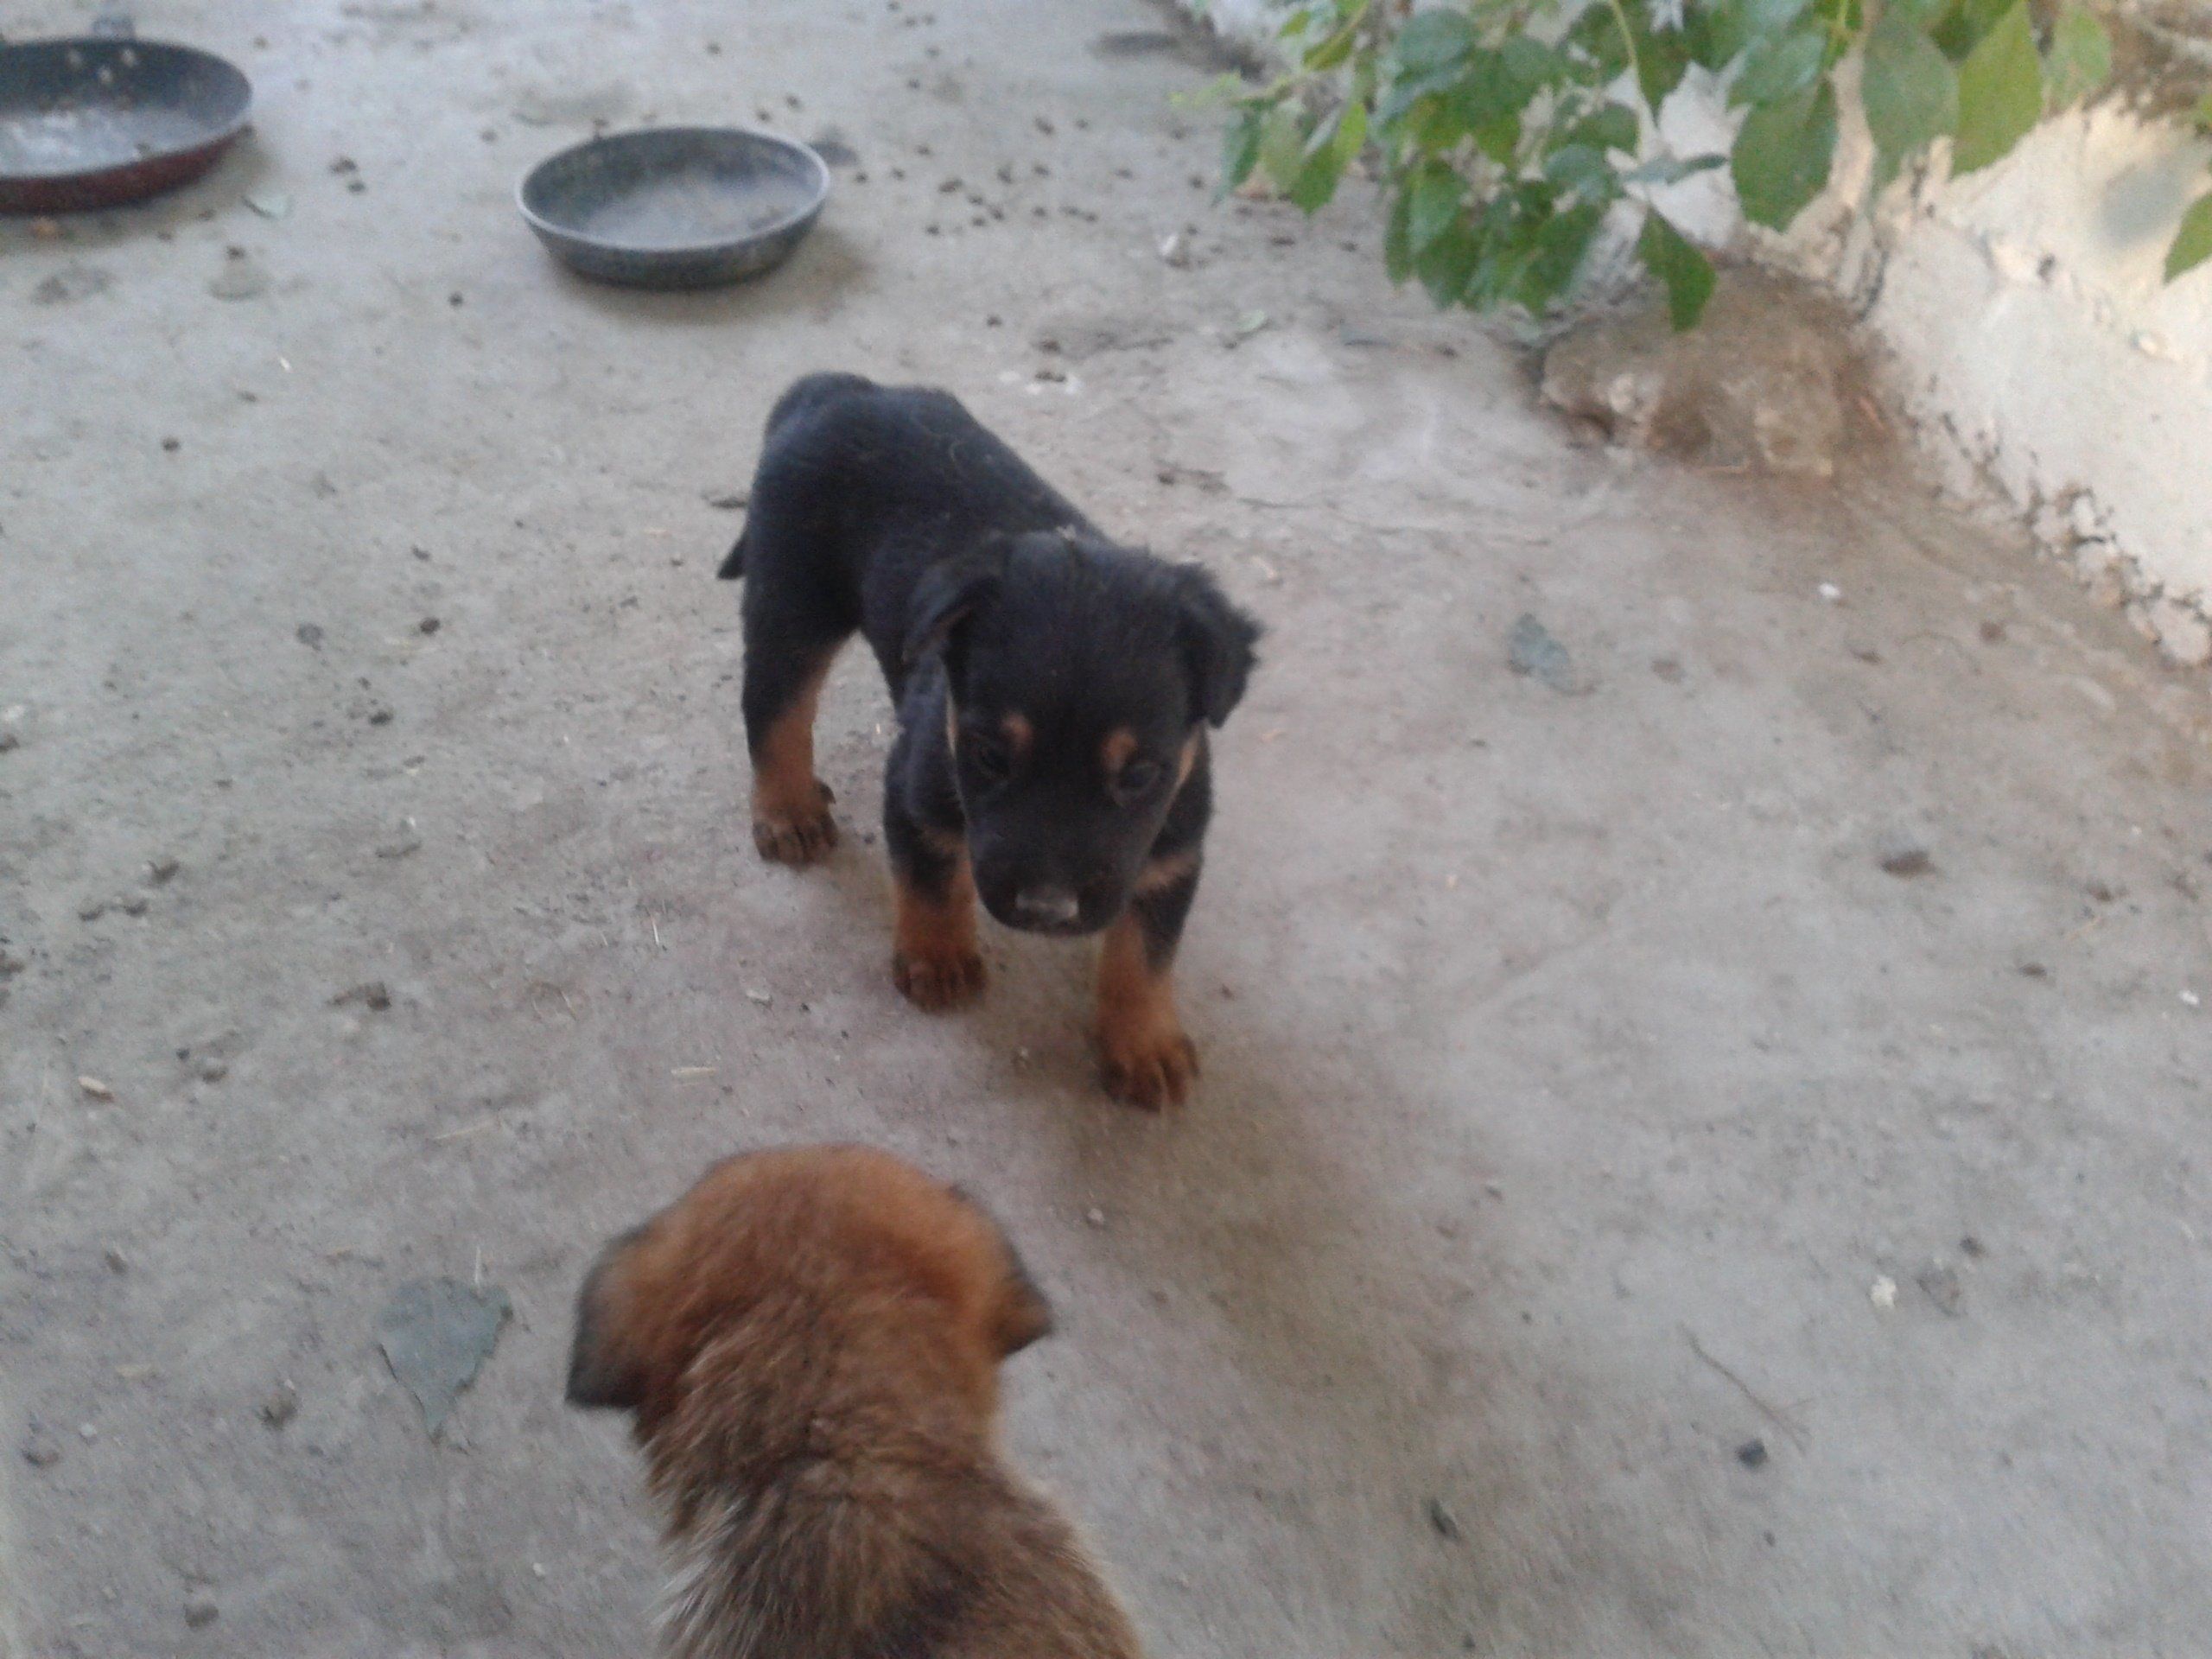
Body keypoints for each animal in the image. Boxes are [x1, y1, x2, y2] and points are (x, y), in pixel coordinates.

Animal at [716, 369, 1256, 1110]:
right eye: (992, 756)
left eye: (1140, 776)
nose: (1047, 911)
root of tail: (838, 388)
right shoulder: (914, 790)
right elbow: (932, 880)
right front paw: (940, 958)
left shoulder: (1174, 850)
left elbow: (1146, 954)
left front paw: (1144, 1043)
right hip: (791, 600)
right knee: (775, 713)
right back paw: (788, 810)